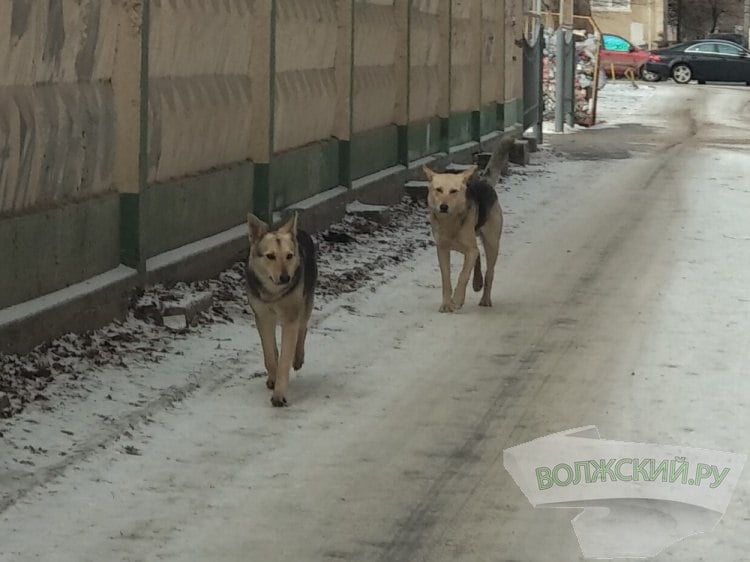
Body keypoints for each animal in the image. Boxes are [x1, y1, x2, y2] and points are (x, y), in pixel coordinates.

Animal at [247, 212, 318, 404]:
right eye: (270, 256)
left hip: (307, 300)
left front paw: (279, 394)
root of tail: (299, 231)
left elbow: (285, 357)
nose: (286, 278)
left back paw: (298, 358)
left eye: (289, 256)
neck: (274, 295)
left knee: (303, 327)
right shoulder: (263, 317)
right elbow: (270, 354)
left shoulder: (290, 318)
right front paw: (273, 377)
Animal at [424, 164, 506, 312]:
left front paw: (457, 300)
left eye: (453, 191)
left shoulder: (470, 250)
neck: (450, 222)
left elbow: (463, 275)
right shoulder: (442, 249)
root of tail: (484, 182)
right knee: (478, 254)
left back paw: (485, 298)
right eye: (438, 189)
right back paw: (477, 282)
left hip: (492, 244)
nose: (443, 206)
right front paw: (446, 304)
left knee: (489, 272)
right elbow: (446, 278)